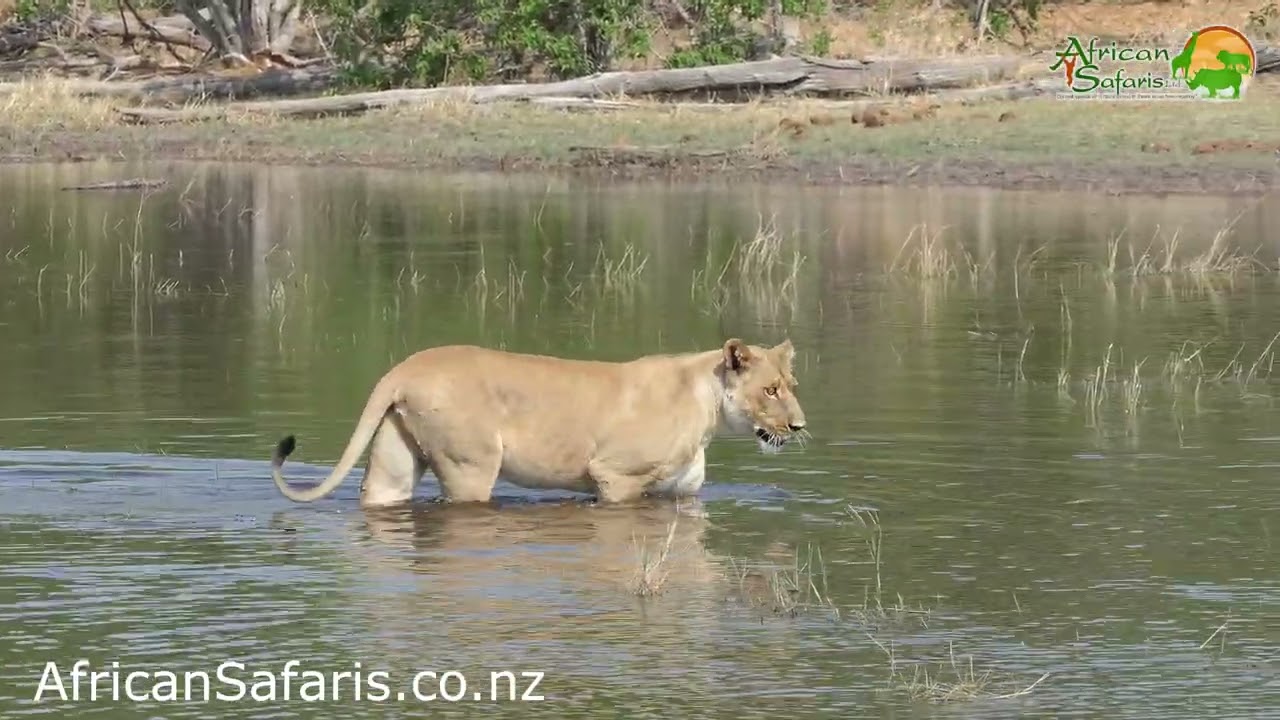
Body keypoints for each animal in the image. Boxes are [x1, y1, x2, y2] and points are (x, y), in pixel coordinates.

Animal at [270, 338, 808, 507]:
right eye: (771, 390)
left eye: (792, 384)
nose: (800, 426)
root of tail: (403, 368)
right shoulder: (615, 475)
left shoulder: (682, 494)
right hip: (470, 464)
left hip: (394, 460)